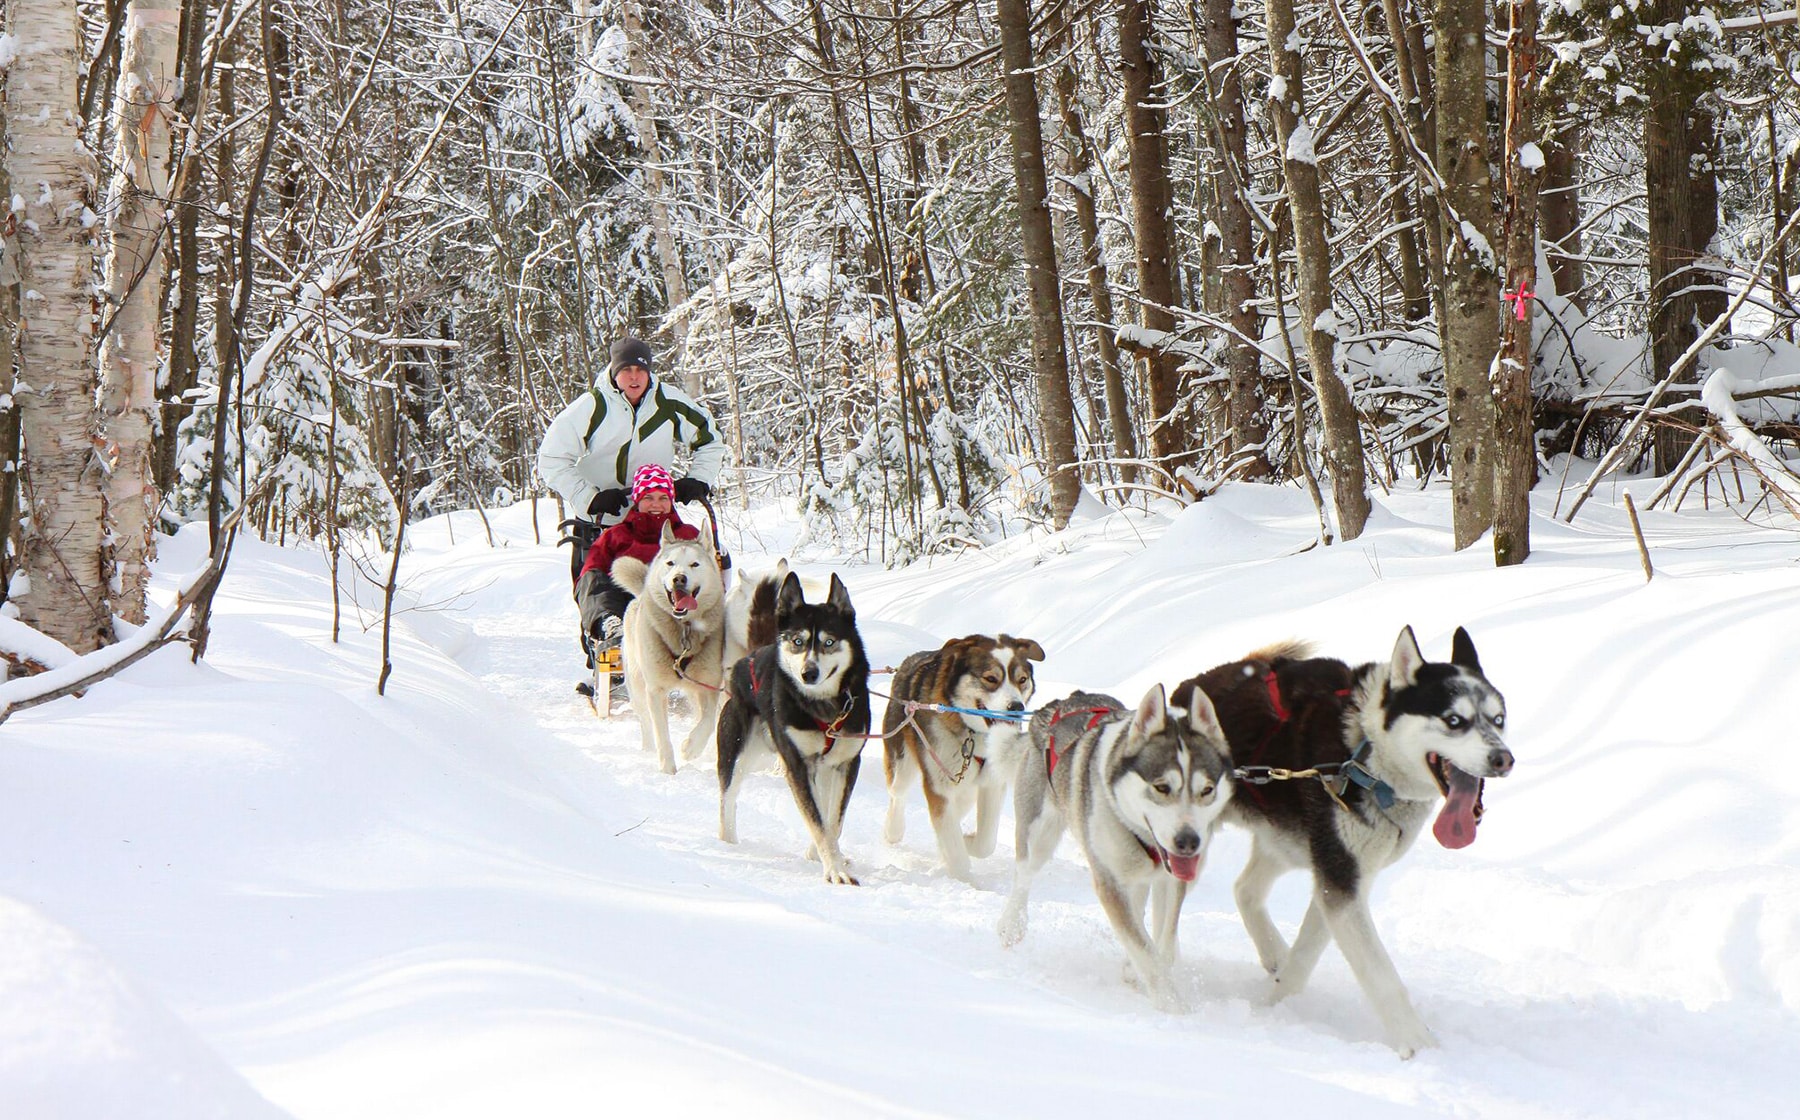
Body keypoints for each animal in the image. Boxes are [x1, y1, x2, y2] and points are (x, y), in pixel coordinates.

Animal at [608, 522, 727, 777]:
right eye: (670, 563)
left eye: (695, 564)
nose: (679, 579)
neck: (683, 632)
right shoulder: (656, 690)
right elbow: (661, 731)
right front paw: (667, 767)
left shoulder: (708, 687)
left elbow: (707, 721)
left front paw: (691, 748)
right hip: (637, 685)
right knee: (645, 721)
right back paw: (648, 748)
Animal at [716, 569, 871, 885]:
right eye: (797, 642)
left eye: (829, 642)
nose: (808, 673)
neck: (824, 709)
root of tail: (750, 657)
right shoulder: (797, 766)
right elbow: (818, 821)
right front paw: (835, 870)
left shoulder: (846, 764)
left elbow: (832, 821)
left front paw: (827, 856)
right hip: (735, 755)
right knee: (727, 800)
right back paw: (727, 844)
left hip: (821, 770)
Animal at [882, 637, 1051, 882]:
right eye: (991, 678)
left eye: (1022, 680)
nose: (1016, 707)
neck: (973, 734)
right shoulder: (938, 786)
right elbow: (955, 850)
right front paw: (963, 876)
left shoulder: (992, 783)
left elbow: (985, 843)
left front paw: (967, 841)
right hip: (902, 763)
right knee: (898, 793)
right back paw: (893, 830)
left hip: (967, 787)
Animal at [1000, 684, 1238, 1008]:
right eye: (1162, 787)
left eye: (1207, 790)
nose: (1188, 842)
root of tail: (1058, 705)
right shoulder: (1110, 882)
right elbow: (1144, 951)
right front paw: (1172, 1005)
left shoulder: (1170, 881)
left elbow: (1162, 941)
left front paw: (1146, 970)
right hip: (1039, 834)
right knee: (1023, 875)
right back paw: (1011, 926)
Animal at [1173, 633, 1512, 1058]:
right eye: (1454, 720)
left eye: (1498, 720)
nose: (1504, 759)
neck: (1365, 756)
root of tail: (1189, 687)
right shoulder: (1341, 880)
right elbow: (1382, 976)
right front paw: (1421, 1047)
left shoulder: (1341, 880)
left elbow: (1304, 959)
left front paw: (1276, 1004)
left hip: (1282, 843)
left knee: (1245, 889)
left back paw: (1274, 954)